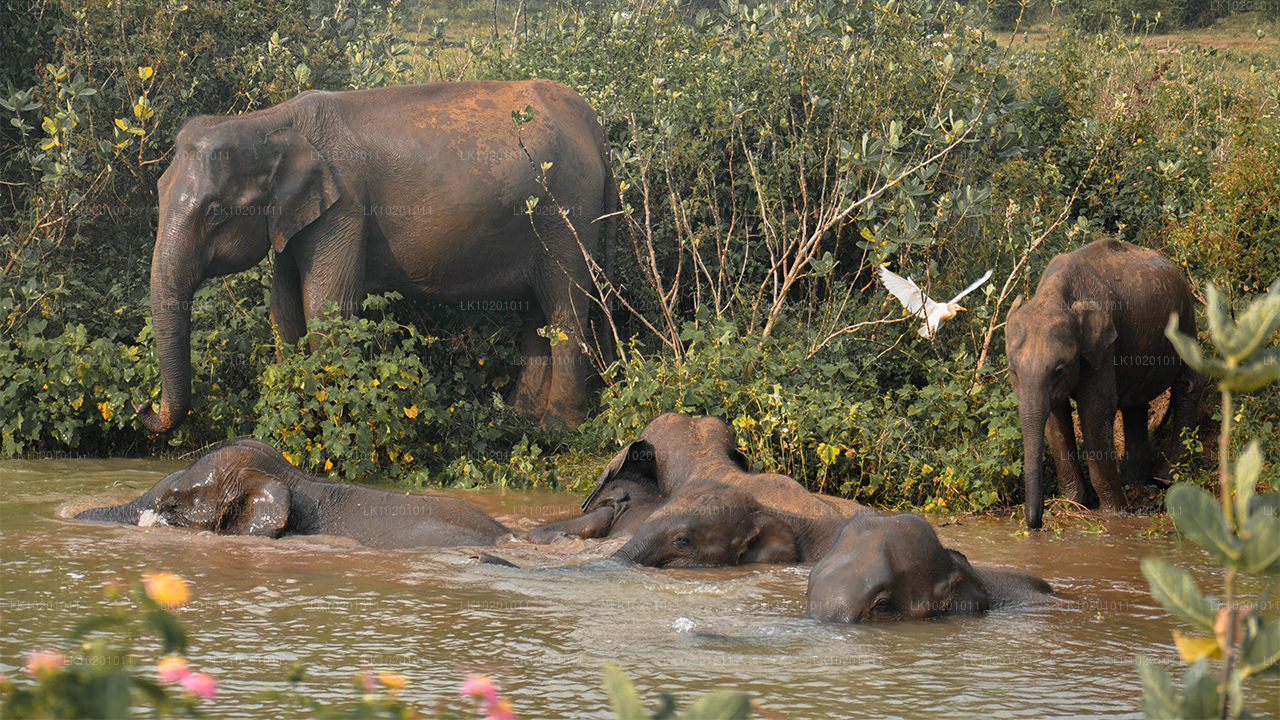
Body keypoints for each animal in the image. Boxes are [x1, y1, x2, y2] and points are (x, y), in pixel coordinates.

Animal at [135, 79, 614, 425]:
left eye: (215, 212)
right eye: (156, 191)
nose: (144, 407)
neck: (272, 121)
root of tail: (594, 125)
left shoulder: (345, 206)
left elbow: (326, 306)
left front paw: (327, 416)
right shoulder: (298, 217)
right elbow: (282, 307)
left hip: (567, 209)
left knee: (566, 308)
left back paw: (558, 430)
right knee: (538, 311)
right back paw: (523, 418)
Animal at [1003, 238, 1203, 525]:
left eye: (1060, 370)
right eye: (1012, 370)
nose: (1035, 524)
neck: (1055, 294)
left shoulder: (1104, 345)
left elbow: (1095, 411)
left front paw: (1113, 513)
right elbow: (1055, 418)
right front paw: (1070, 506)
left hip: (1186, 318)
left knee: (1188, 383)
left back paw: (1165, 479)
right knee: (1135, 404)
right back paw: (1134, 481)